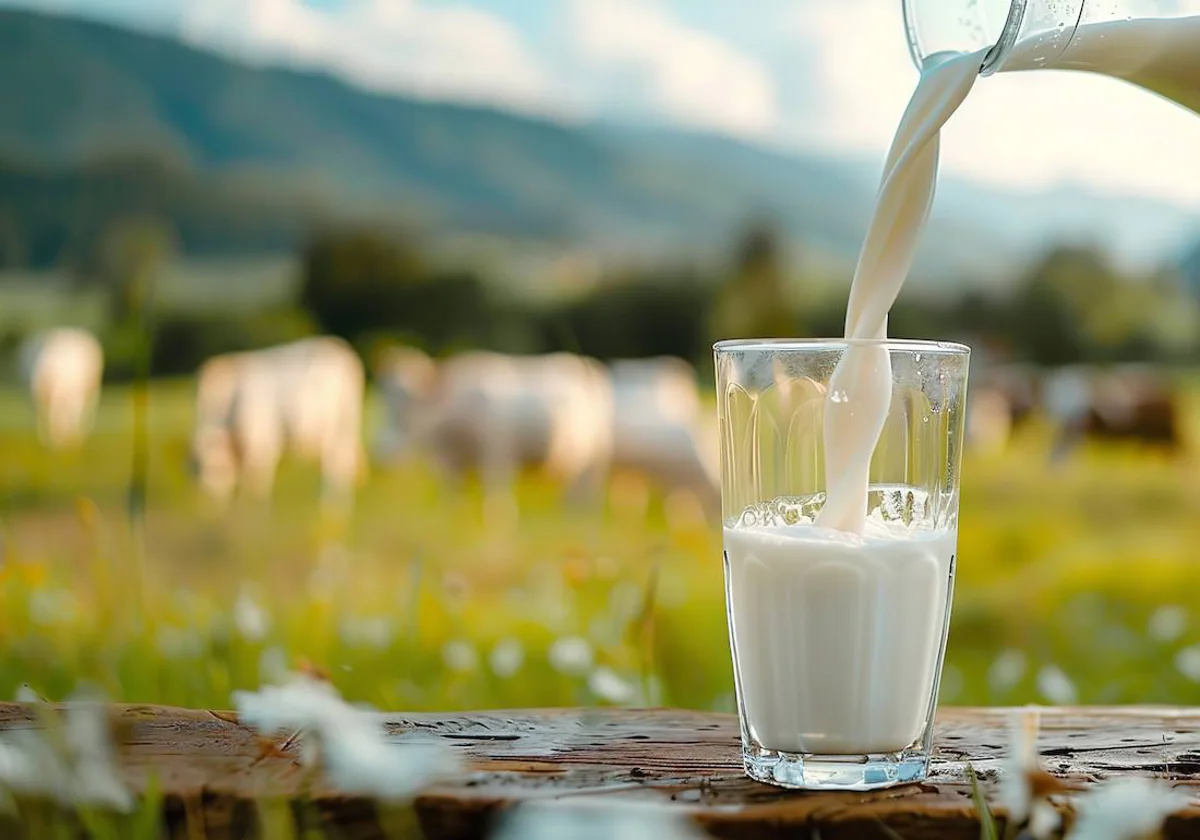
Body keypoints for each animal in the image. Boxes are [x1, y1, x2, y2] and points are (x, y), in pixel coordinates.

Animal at [189, 336, 367, 508]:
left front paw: (252, 505)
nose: (210, 502)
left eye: (213, 468)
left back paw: (329, 504)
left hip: (334, 426)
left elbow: (255, 475)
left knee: (336, 459)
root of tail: (339, 348)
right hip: (343, 423)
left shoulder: (259, 439)